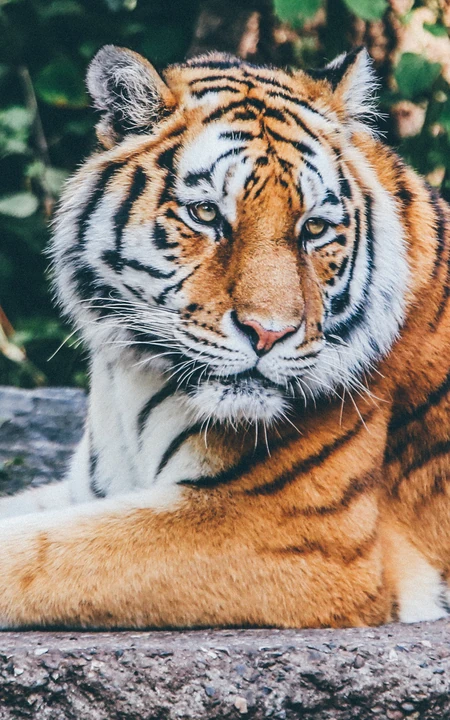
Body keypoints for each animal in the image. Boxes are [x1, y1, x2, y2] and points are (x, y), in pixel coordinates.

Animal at [0, 43, 450, 630]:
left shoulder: (287, 529)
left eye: (314, 228)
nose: (268, 333)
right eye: (206, 213)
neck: (134, 379)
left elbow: (41, 551)